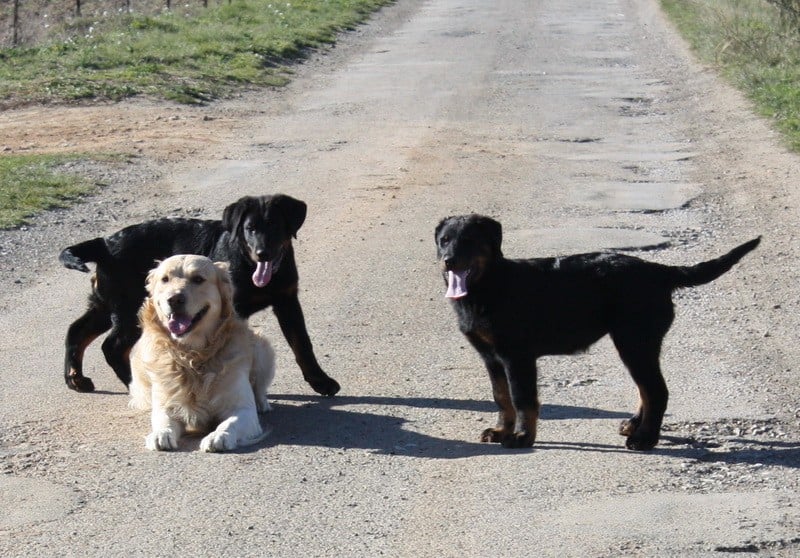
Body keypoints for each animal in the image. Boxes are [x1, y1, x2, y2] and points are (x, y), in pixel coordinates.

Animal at [59, 196, 340, 398]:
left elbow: (302, 344)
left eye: (276, 227)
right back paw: (133, 384)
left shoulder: (287, 301)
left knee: (77, 330)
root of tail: (105, 243)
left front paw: (321, 381)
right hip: (129, 306)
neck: (249, 266)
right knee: (112, 346)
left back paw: (75, 379)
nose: (263, 253)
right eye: (249, 229)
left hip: (106, 303)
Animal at [128, 256, 272, 452]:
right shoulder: (166, 404)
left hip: (262, 347)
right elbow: (163, 420)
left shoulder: (243, 409)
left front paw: (218, 436)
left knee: (260, 387)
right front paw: (160, 434)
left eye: (198, 279)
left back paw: (263, 403)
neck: (194, 356)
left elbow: (229, 423)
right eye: (165, 279)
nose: (174, 299)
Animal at [434, 217, 760, 452]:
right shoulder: (491, 357)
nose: (449, 259)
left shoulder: (517, 356)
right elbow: (501, 396)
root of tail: (658, 270)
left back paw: (645, 440)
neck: (489, 285)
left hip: (635, 340)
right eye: (444, 240)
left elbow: (522, 398)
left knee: (656, 390)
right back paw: (635, 427)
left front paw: (522, 437)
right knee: (646, 389)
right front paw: (501, 430)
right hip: (636, 343)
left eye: (469, 241)